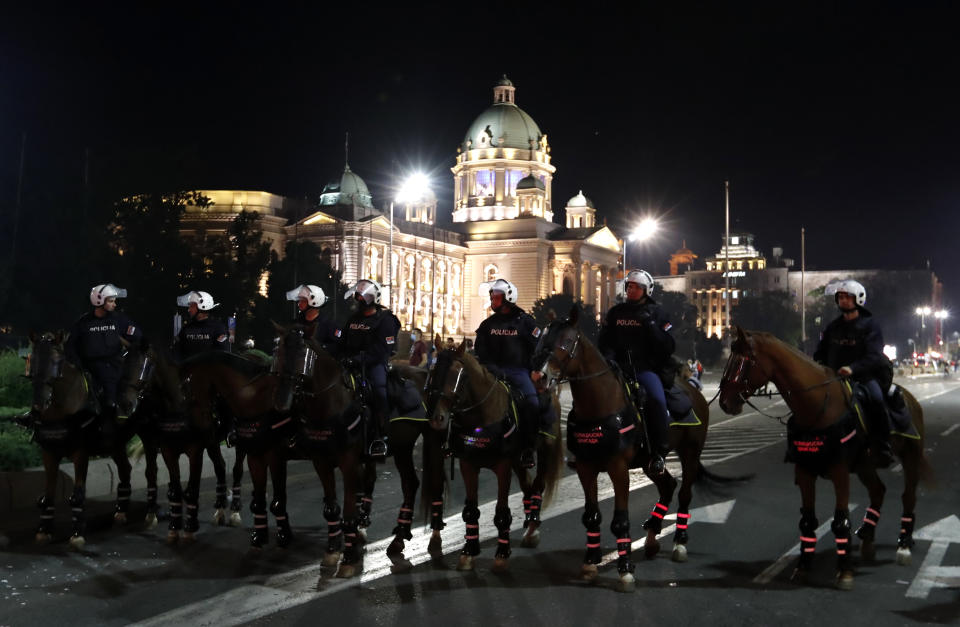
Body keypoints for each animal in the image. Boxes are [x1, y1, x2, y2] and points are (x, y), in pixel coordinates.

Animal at [26, 334, 159, 548]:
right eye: (33, 361)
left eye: (56, 362)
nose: (39, 403)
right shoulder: (48, 453)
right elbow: (49, 494)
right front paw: (44, 530)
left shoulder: (80, 453)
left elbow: (77, 494)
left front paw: (77, 532)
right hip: (115, 443)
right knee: (125, 470)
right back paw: (121, 511)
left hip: (147, 434)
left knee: (151, 471)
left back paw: (151, 513)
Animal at [426, 338, 564, 576]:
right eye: (434, 370)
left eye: (458, 374)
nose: (437, 419)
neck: (483, 415)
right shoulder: (468, 466)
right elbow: (471, 511)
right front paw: (468, 553)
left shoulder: (503, 468)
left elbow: (502, 513)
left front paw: (501, 556)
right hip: (519, 460)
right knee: (528, 487)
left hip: (543, 452)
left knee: (537, 487)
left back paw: (533, 529)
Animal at [540, 312, 712, 592]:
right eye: (544, 337)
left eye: (566, 341)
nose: (540, 376)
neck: (600, 404)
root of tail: (693, 390)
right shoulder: (586, 469)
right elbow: (591, 516)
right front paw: (590, 562)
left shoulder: (618, 469)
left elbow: (620, 520)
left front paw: (625, 569)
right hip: (649, 462)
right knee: (667, 486)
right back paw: (652, 538)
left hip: (690, 453)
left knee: (685, 493)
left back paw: (679, 542)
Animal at [720, 326, 928, 592]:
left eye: (744, 362)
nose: (725, 402)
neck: (817, 405)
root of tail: (910, 398)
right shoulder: (804, 472)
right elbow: (807, 522)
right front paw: (802, 568)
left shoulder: (840, 473)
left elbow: (840, 522)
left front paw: (844, 572)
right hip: (864, 466)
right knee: (878, 491)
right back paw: (868, 539)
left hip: (910, 458)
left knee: (908, 497)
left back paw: (904, 544)